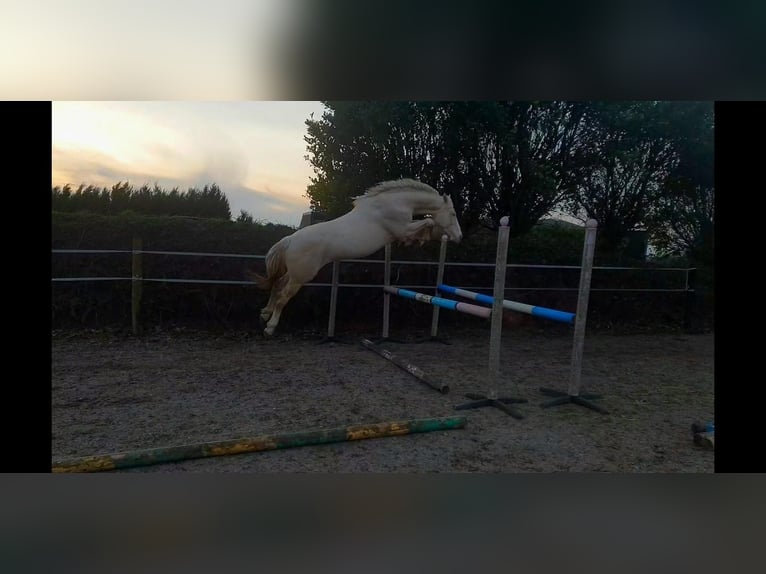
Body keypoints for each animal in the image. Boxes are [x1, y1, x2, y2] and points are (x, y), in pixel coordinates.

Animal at [252, 178, 463, 336]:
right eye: (453, 213)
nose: (459, 237)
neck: (396, 203)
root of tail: (289, 240)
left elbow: (426, 226)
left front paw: (420, 240)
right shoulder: (402, 229)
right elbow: (428, 222)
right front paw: (422, 237)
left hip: (294, 273)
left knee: (277, 286)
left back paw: (264, 313)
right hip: (301, 277)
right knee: (283, 297)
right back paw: (270, 327)